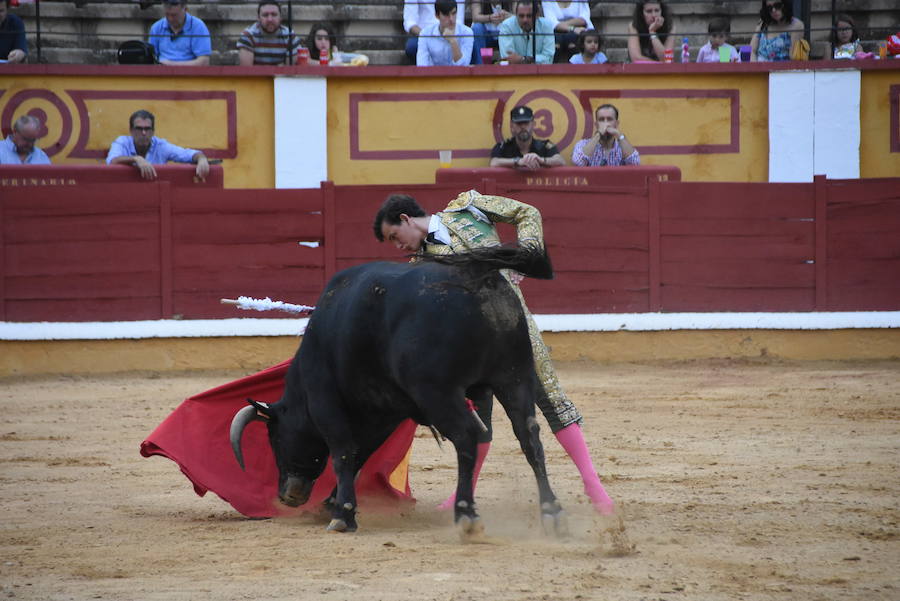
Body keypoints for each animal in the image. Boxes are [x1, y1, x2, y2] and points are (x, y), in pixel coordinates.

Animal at [229, 244, 568, 536]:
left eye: (275, 438)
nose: (287, 495)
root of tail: (477, 275)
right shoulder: (384, 410)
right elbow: (362, 453)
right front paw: (333, 503)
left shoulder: (325, 401)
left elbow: (343, 452)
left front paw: (342, 515)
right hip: (515, 378)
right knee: (530, 437)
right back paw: (551, 512)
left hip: (439, 392)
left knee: (467, 437)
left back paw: (466, 514)